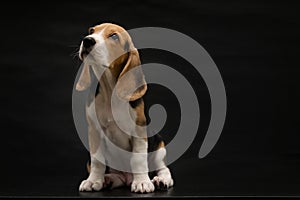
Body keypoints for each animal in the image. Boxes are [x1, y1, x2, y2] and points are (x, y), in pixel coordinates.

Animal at [76, 22, 173, 193]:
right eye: (91, 31)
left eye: (114, 36)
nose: (87, 40)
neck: (109, 92)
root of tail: (127, 178)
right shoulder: (94, 132)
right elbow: (97, 161)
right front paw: (93, 181)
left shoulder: (139, 132)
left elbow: (138, 159)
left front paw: (142, 182)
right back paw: (107, 180)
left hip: (159, 146)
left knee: (163, 168)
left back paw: (161, 180)